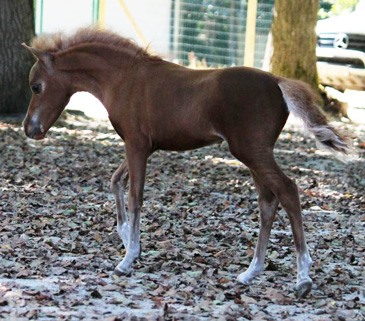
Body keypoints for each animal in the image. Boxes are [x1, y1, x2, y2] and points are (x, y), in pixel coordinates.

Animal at [22, 28, 350, 298]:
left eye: (36, 86)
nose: (29, 129)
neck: (124, 78)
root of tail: (278, 82)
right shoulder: (144, 147)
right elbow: (116, 183)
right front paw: (127, 239)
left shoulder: (136, 144)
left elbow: (135, 196)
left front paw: (128, 258)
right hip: (255, 154)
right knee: (268, 202)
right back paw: (250, 273)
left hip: (252, 151)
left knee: (288, 191)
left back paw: (303, 278)